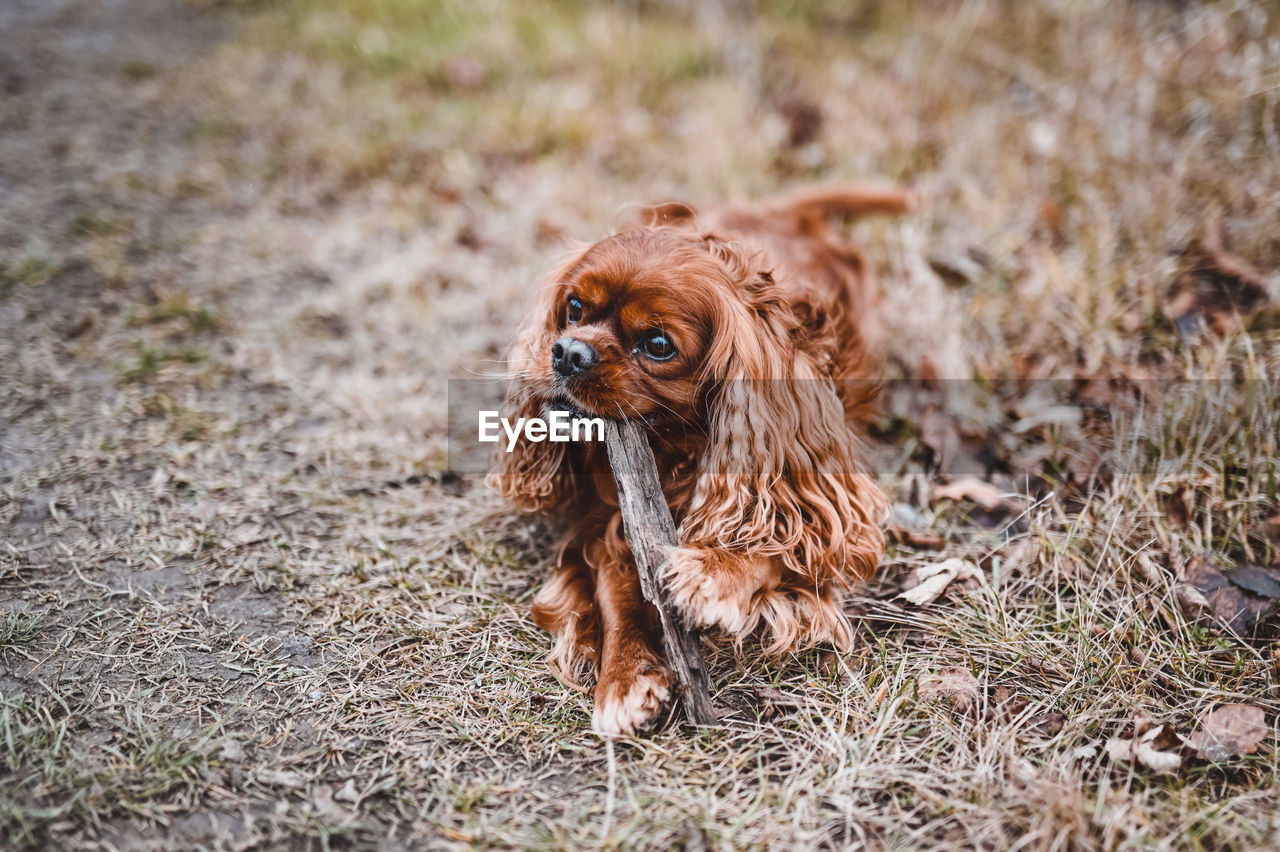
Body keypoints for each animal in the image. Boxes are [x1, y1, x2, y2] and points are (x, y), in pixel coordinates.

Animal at [488, 184, 911, 731]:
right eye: (574, 306)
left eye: (657, 344)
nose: (567, 351)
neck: (673, 450)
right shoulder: (612, 519)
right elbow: (615, 594)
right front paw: (625, 675)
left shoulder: (828, 510)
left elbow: (778, 545)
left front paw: (715, 573)